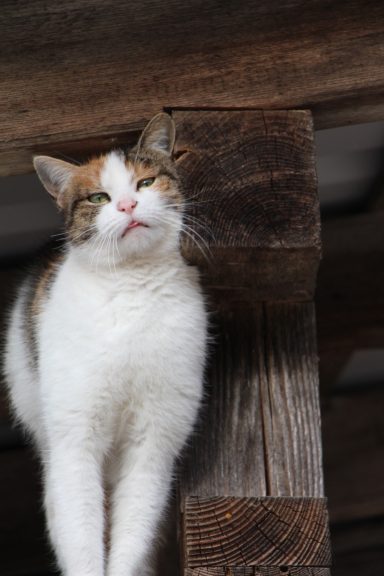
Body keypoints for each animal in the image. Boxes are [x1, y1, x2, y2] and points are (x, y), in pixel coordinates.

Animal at [3, 112, 208, 576]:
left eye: (145, 183)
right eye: (99, 197)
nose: (128, 206)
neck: (132, 283)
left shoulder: (153, 446)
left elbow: (132, 536)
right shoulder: (74, 441)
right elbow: (81, 536)